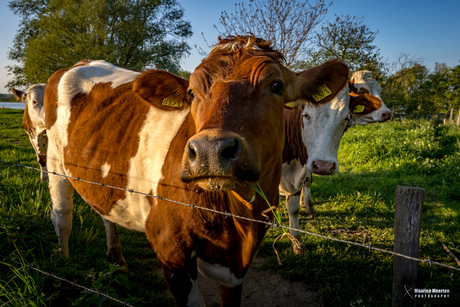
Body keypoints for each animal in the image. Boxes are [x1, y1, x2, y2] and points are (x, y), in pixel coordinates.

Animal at [45, 35, 348, 306]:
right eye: (191, 93)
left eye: (276, 85)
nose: (210, 150)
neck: (238, 219)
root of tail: (81, 62)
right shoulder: (173, 254)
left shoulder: (236, 270)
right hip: (54, 162)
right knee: (62, 217)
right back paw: (63, 272)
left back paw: (117, 259)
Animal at [278, 70, 390, 255]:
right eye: (305, 114)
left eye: (346, 118)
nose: (387, 113)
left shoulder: (300, 170)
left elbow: (293, 208)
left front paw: (297, 241)